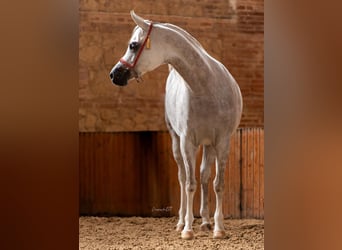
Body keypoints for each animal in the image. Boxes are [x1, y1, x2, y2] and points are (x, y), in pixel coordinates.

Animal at [109, 10, 243, 239]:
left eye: (133, 45)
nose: (114, 74)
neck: (206, 88)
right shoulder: (187, 142)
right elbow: (189, 184)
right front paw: (188, 230)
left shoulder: (222, 142)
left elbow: (218, 184)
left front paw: (219, 228)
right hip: (176, 142)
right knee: (182, 177)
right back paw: (182, 222)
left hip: (208, 145)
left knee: (204, 176)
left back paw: (206, 221)